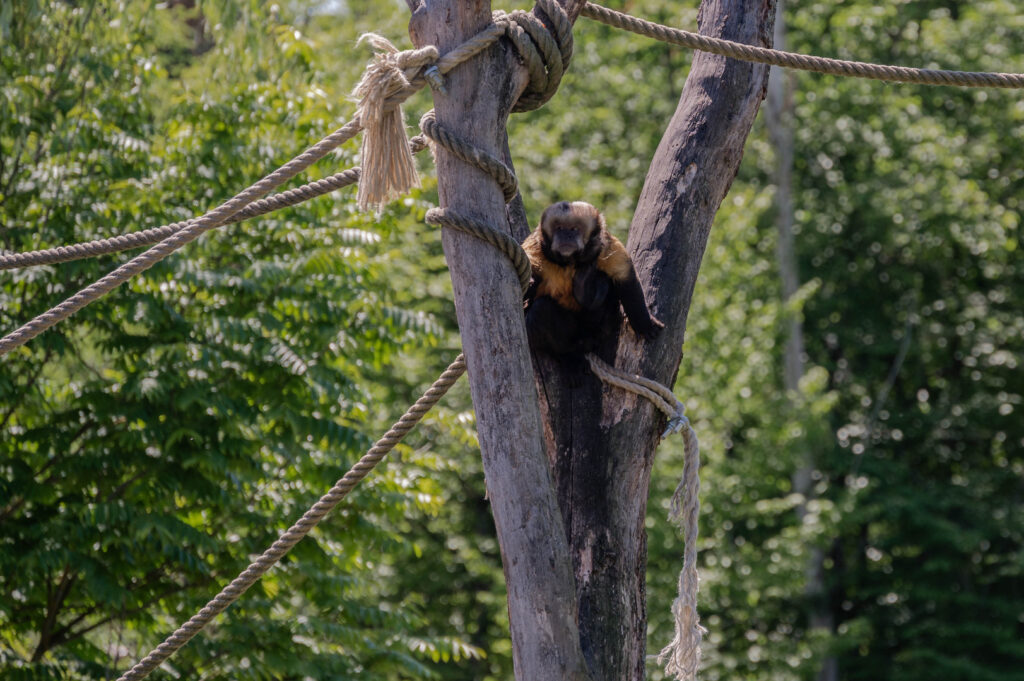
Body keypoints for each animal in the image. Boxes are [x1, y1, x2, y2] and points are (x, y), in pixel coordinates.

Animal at [520, 200, 663, 356]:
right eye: (559, 228)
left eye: (574, 229)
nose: (566, 235)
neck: (570, 260)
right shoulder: (535, 247)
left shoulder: (605, 245)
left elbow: (626, 280)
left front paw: (644, 324)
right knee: (541, 309)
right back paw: (573, 349)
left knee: (604, 283)